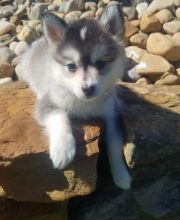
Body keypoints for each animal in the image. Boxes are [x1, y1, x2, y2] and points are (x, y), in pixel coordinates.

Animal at [19, 3, 131, 189]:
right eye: (71, 66)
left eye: (101, 64)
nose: (88, 89)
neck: (84, 103)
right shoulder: (49, 103)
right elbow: (60, 116)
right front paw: (63, 149)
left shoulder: (112, 114)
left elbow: (115, 146)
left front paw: (121, 173)